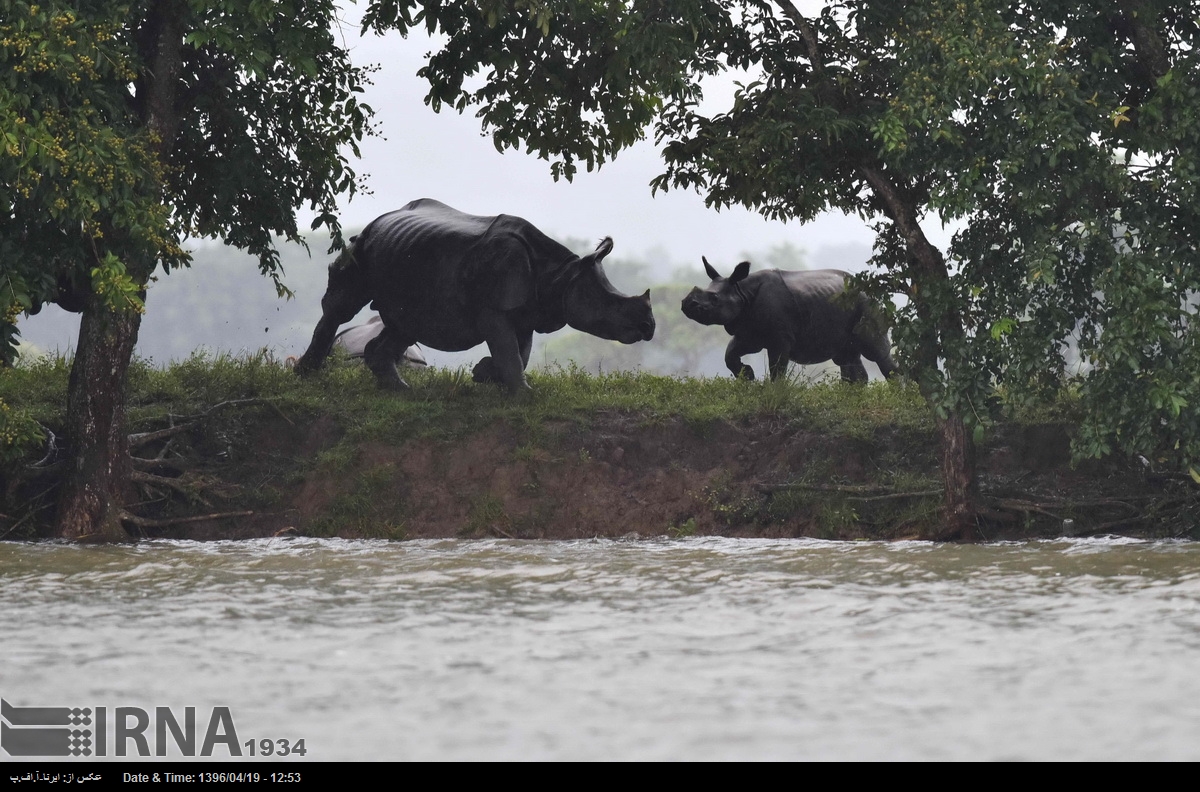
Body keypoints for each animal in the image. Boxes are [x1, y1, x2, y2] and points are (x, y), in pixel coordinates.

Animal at [297, 199, 657, 391]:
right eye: (611, 304)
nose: (649, 327)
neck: (560, 274)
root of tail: (382, 218)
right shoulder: (494, 307)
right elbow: (510, 350)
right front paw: (524, 394)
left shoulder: (525, 311)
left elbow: (519, 351)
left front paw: (484, 374)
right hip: (362, 245)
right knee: (344, 306)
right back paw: (305, 375)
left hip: (406, 255)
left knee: (405, 324)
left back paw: (402, 391)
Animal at [686, 260, 892, 384]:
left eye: (714, 299)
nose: (686, 304)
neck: (741, 290)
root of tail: (871, 291)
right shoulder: (749, 332)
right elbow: (730, 353)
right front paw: (748, 376)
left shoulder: (780, 339)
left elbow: (777, 369)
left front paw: (773, 391)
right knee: (847, 355)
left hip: (867, 304)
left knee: (876, 351)